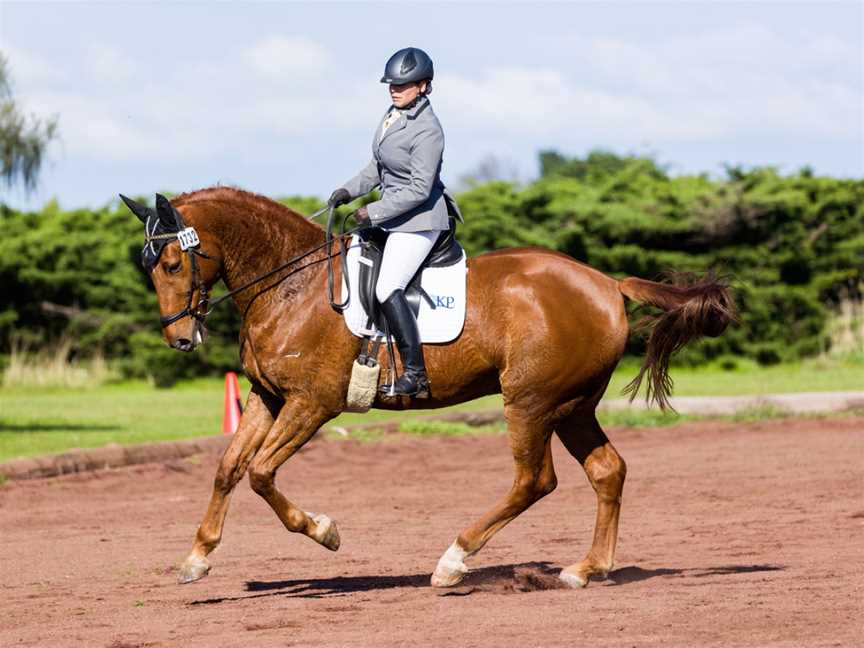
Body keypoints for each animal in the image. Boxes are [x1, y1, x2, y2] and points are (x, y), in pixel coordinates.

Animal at [121, 186, 736, 588]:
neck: (291, 284)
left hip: (531, 401)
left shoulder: (312, 403)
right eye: (149, 265)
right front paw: (197, 558)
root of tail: (607, 282)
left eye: (172, 264)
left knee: (534, 480)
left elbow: (261, 473)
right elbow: (228, 468)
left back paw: (454, 560)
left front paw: (324, 531)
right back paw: (585, 570)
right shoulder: (267, 398)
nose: (180, 339)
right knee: (606, 471)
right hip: (572, 406)